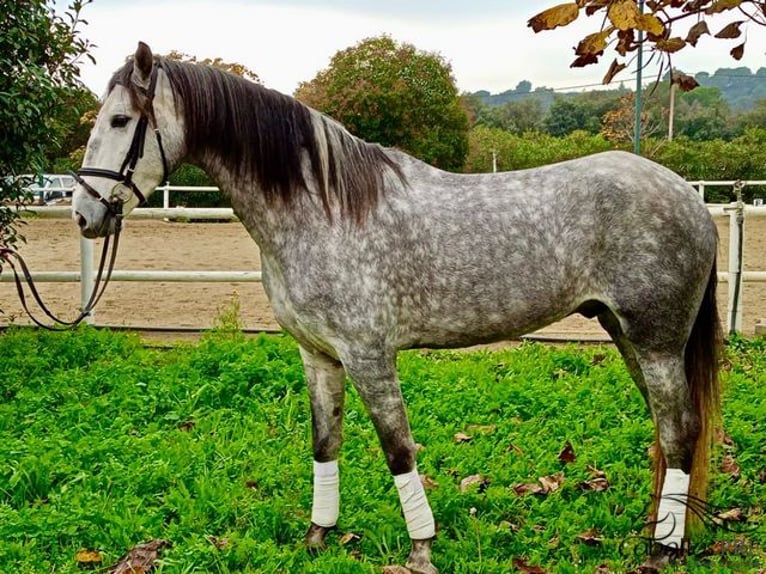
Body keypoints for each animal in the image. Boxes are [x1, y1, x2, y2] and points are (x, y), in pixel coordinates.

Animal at [70, 42, 720, 572]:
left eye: (121, 120)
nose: (84, 213)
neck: (324, 210)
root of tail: (689, 198)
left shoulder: (368, 355)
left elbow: (397, 449)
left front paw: (421, 549)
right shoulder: (318, 356)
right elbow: (325, 443)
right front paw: (318, 536)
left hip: (657, 342)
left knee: (679, 431)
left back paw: (664, 548)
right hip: (628, 335)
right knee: (667, 431)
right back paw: (665, 529)